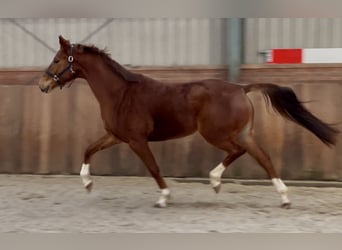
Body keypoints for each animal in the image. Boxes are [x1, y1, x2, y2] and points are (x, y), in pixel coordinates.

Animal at [36, 36, 336, 208]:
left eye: (57, 59)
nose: (42, 84)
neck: (121, 93)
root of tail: (240, 88)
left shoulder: (136, 140)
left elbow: (154, 168)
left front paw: (164, 198)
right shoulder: (115, 135)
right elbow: (88, 149)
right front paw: (87, 183)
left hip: (216, 134)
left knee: (240, 152)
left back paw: (216, 181)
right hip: (242, 133)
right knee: (263, 157)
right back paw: (283, 197)